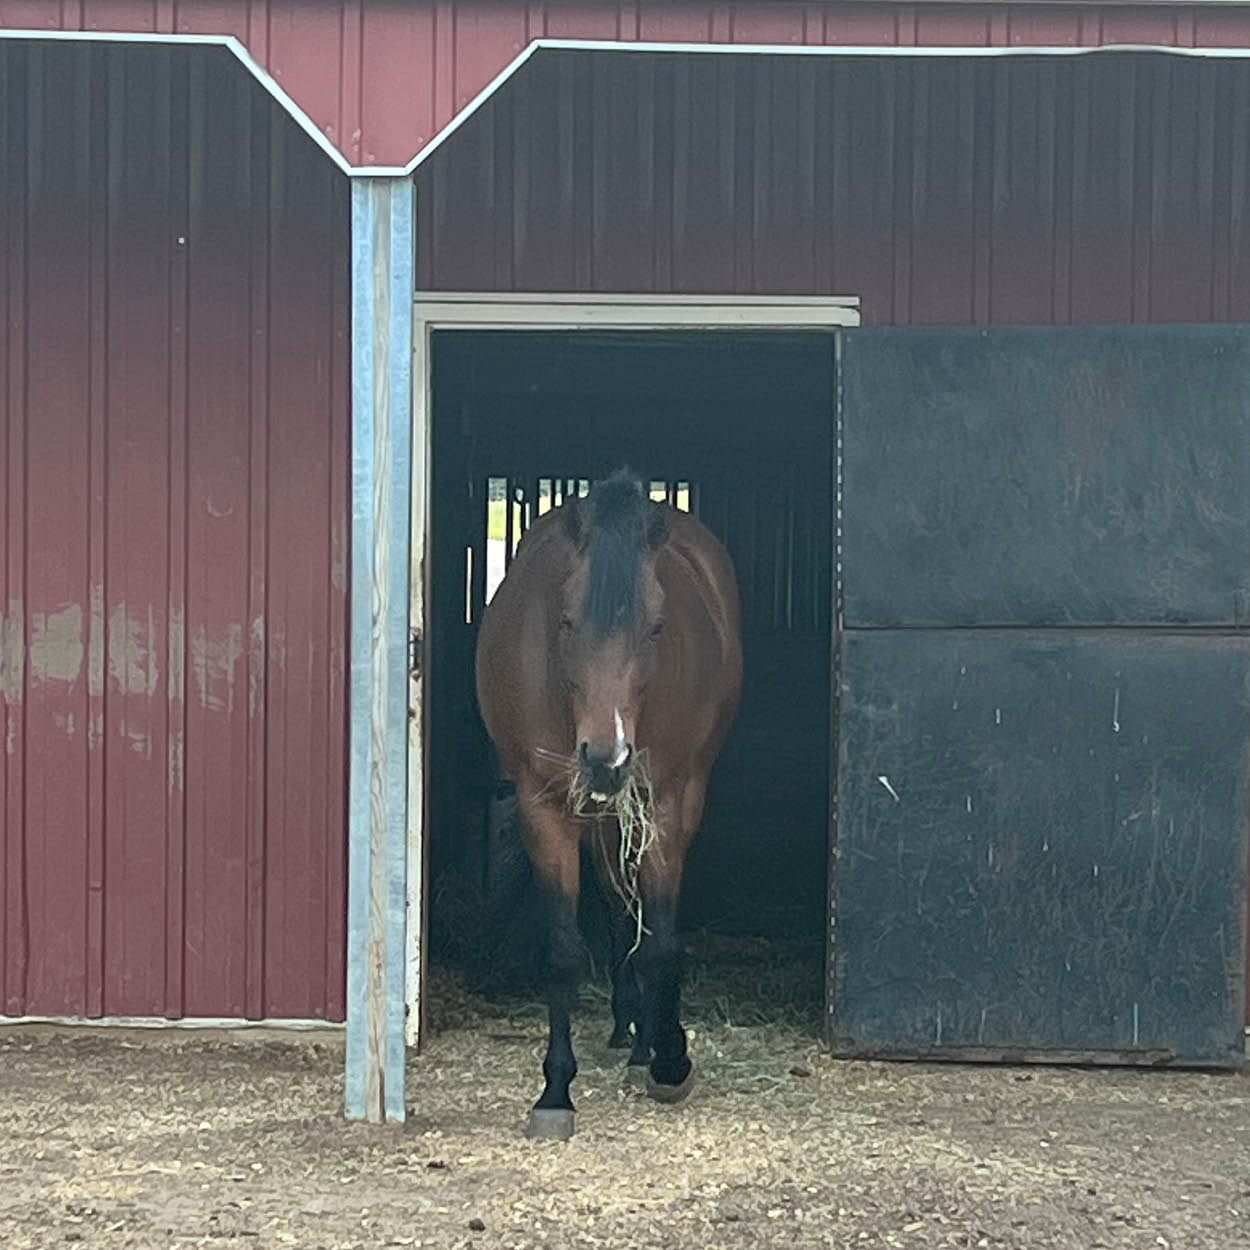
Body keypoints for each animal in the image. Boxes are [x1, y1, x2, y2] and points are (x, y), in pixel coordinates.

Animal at [472, 470, 735, 1145]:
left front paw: (671, 1059)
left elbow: (662, 939)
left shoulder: (666, 804)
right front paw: (555, 1091)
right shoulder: (543, 808)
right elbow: (564, 948)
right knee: (619, 910)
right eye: (566, 622)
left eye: (658, 627)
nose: (606, 757)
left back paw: (645, 1046)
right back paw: (628, 1031)